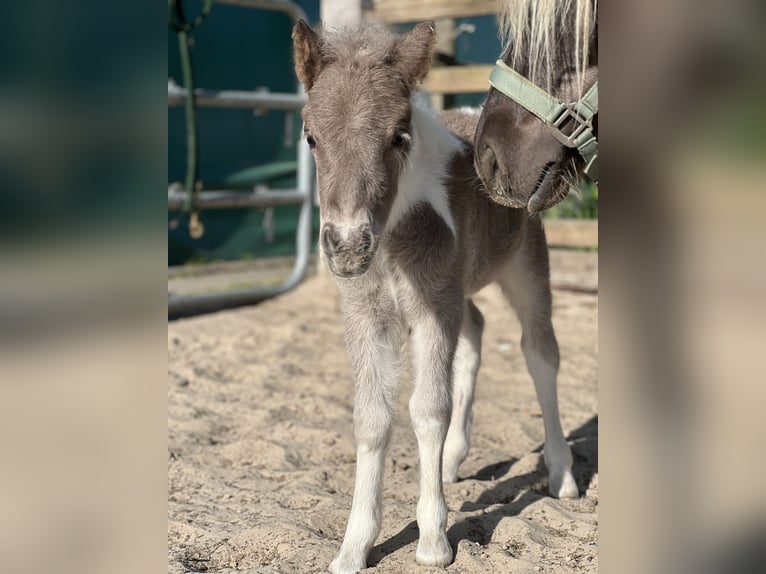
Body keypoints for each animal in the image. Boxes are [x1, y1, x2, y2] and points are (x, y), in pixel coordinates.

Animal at [292, 20, 578, 574]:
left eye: (398, 137)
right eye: (310, 136)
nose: (347, 246)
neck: (393, 234)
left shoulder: (432, 309)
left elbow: (427, 410)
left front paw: (432, 540)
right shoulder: (368, 313)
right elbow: (371, 417)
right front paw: (353, 547)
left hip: (524, 267)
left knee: (541, 353)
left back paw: (563, 476)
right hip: (458, 289)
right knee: (477, 332)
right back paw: (451, 460)